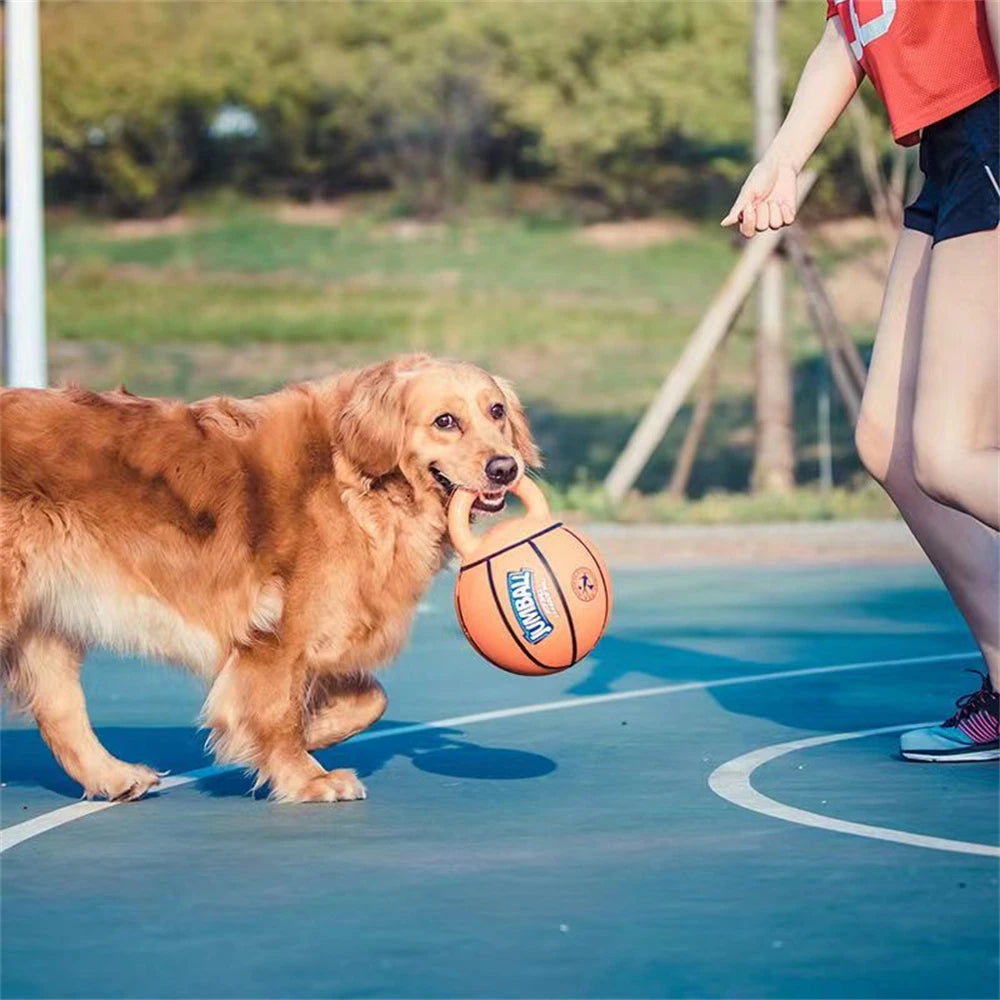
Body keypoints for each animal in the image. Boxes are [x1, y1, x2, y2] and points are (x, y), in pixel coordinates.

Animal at [1, 356, 540, 800]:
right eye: (445, 421)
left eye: (496, 411)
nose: (505, 468)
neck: (356, 481)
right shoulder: (277, 634)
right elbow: (277, 711)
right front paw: (306, 776)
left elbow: (371, 700)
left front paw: (311, 729)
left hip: (44, 621)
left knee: (60, 710)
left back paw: (113, 776)